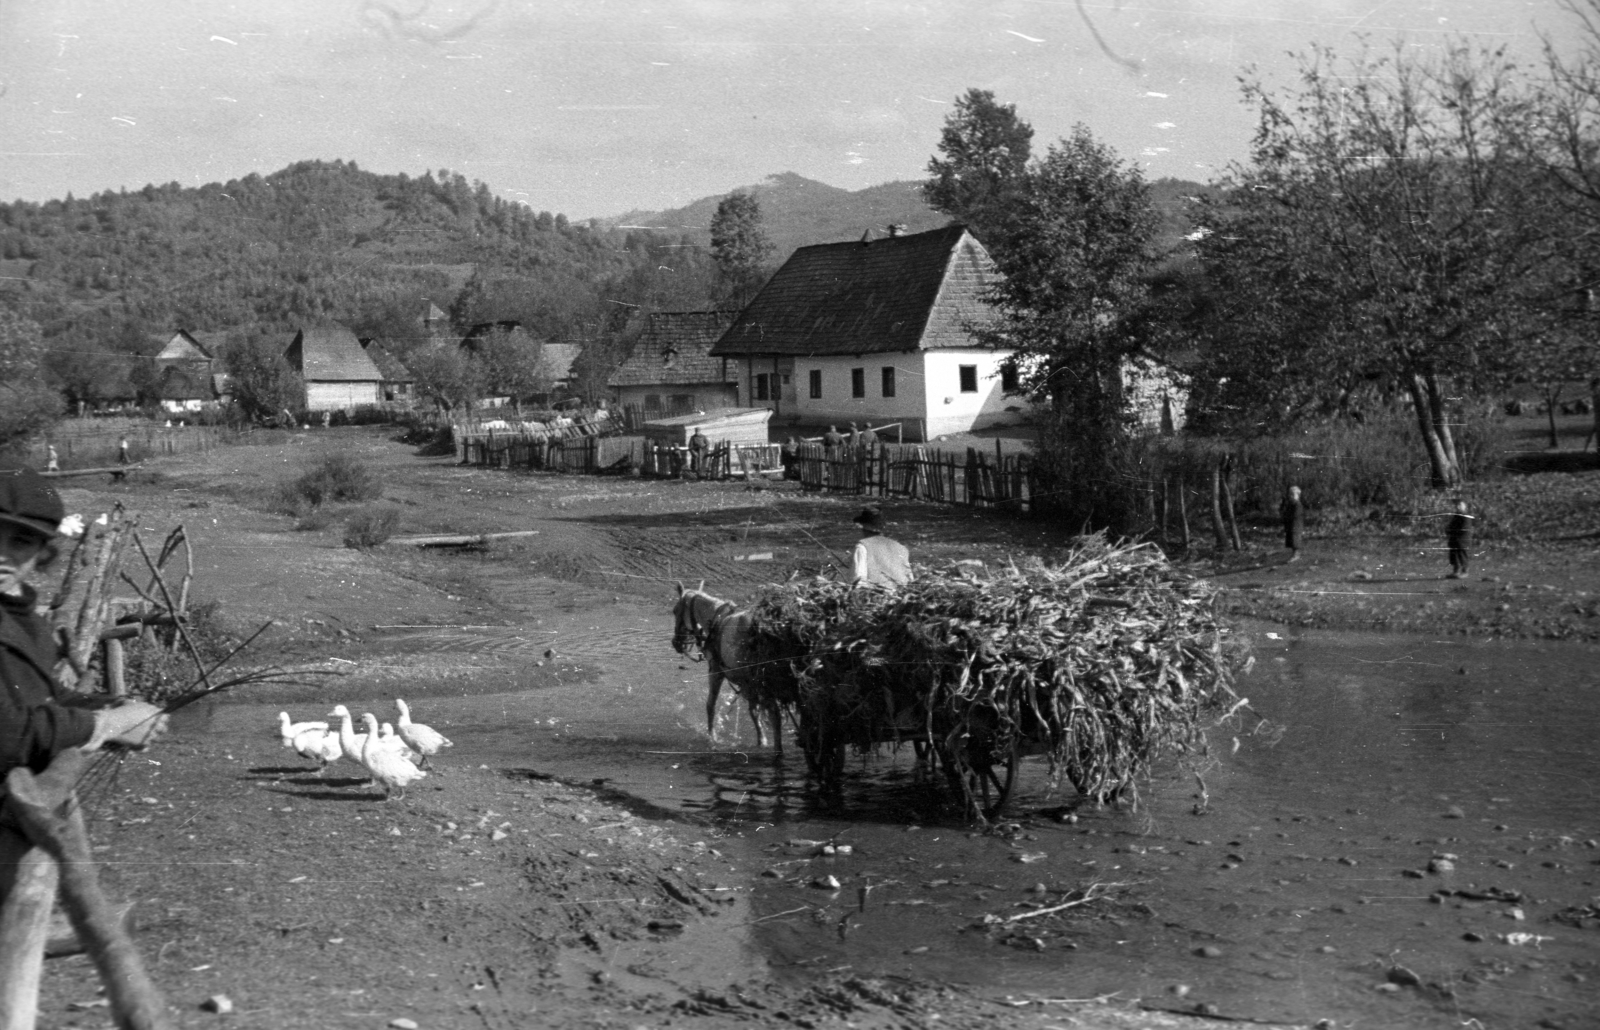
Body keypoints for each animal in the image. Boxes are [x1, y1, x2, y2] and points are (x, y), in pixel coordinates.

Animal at [668, 582, 787, 751]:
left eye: (675, 610)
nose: (676, 643)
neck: (717, 620)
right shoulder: (747, 684)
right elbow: (754, 712)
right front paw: (762, 741)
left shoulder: (716, 672)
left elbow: (710, 705)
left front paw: (712, 736)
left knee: (775, 716)